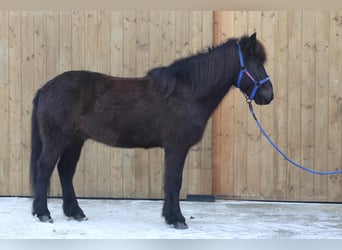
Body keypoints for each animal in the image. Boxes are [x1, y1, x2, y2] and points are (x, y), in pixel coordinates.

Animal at [30, 32, 274, 229]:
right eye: (255, 63)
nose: (268, 95)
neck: (188, 93)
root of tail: (46, 88)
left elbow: (171, 181)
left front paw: (170, 216)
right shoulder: (176, 147)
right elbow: (174, 180)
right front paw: (176, 219)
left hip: (75, 140)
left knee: (65, 171)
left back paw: (75, 212)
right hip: (57, 139)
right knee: (45, 168)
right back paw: (43, 213)